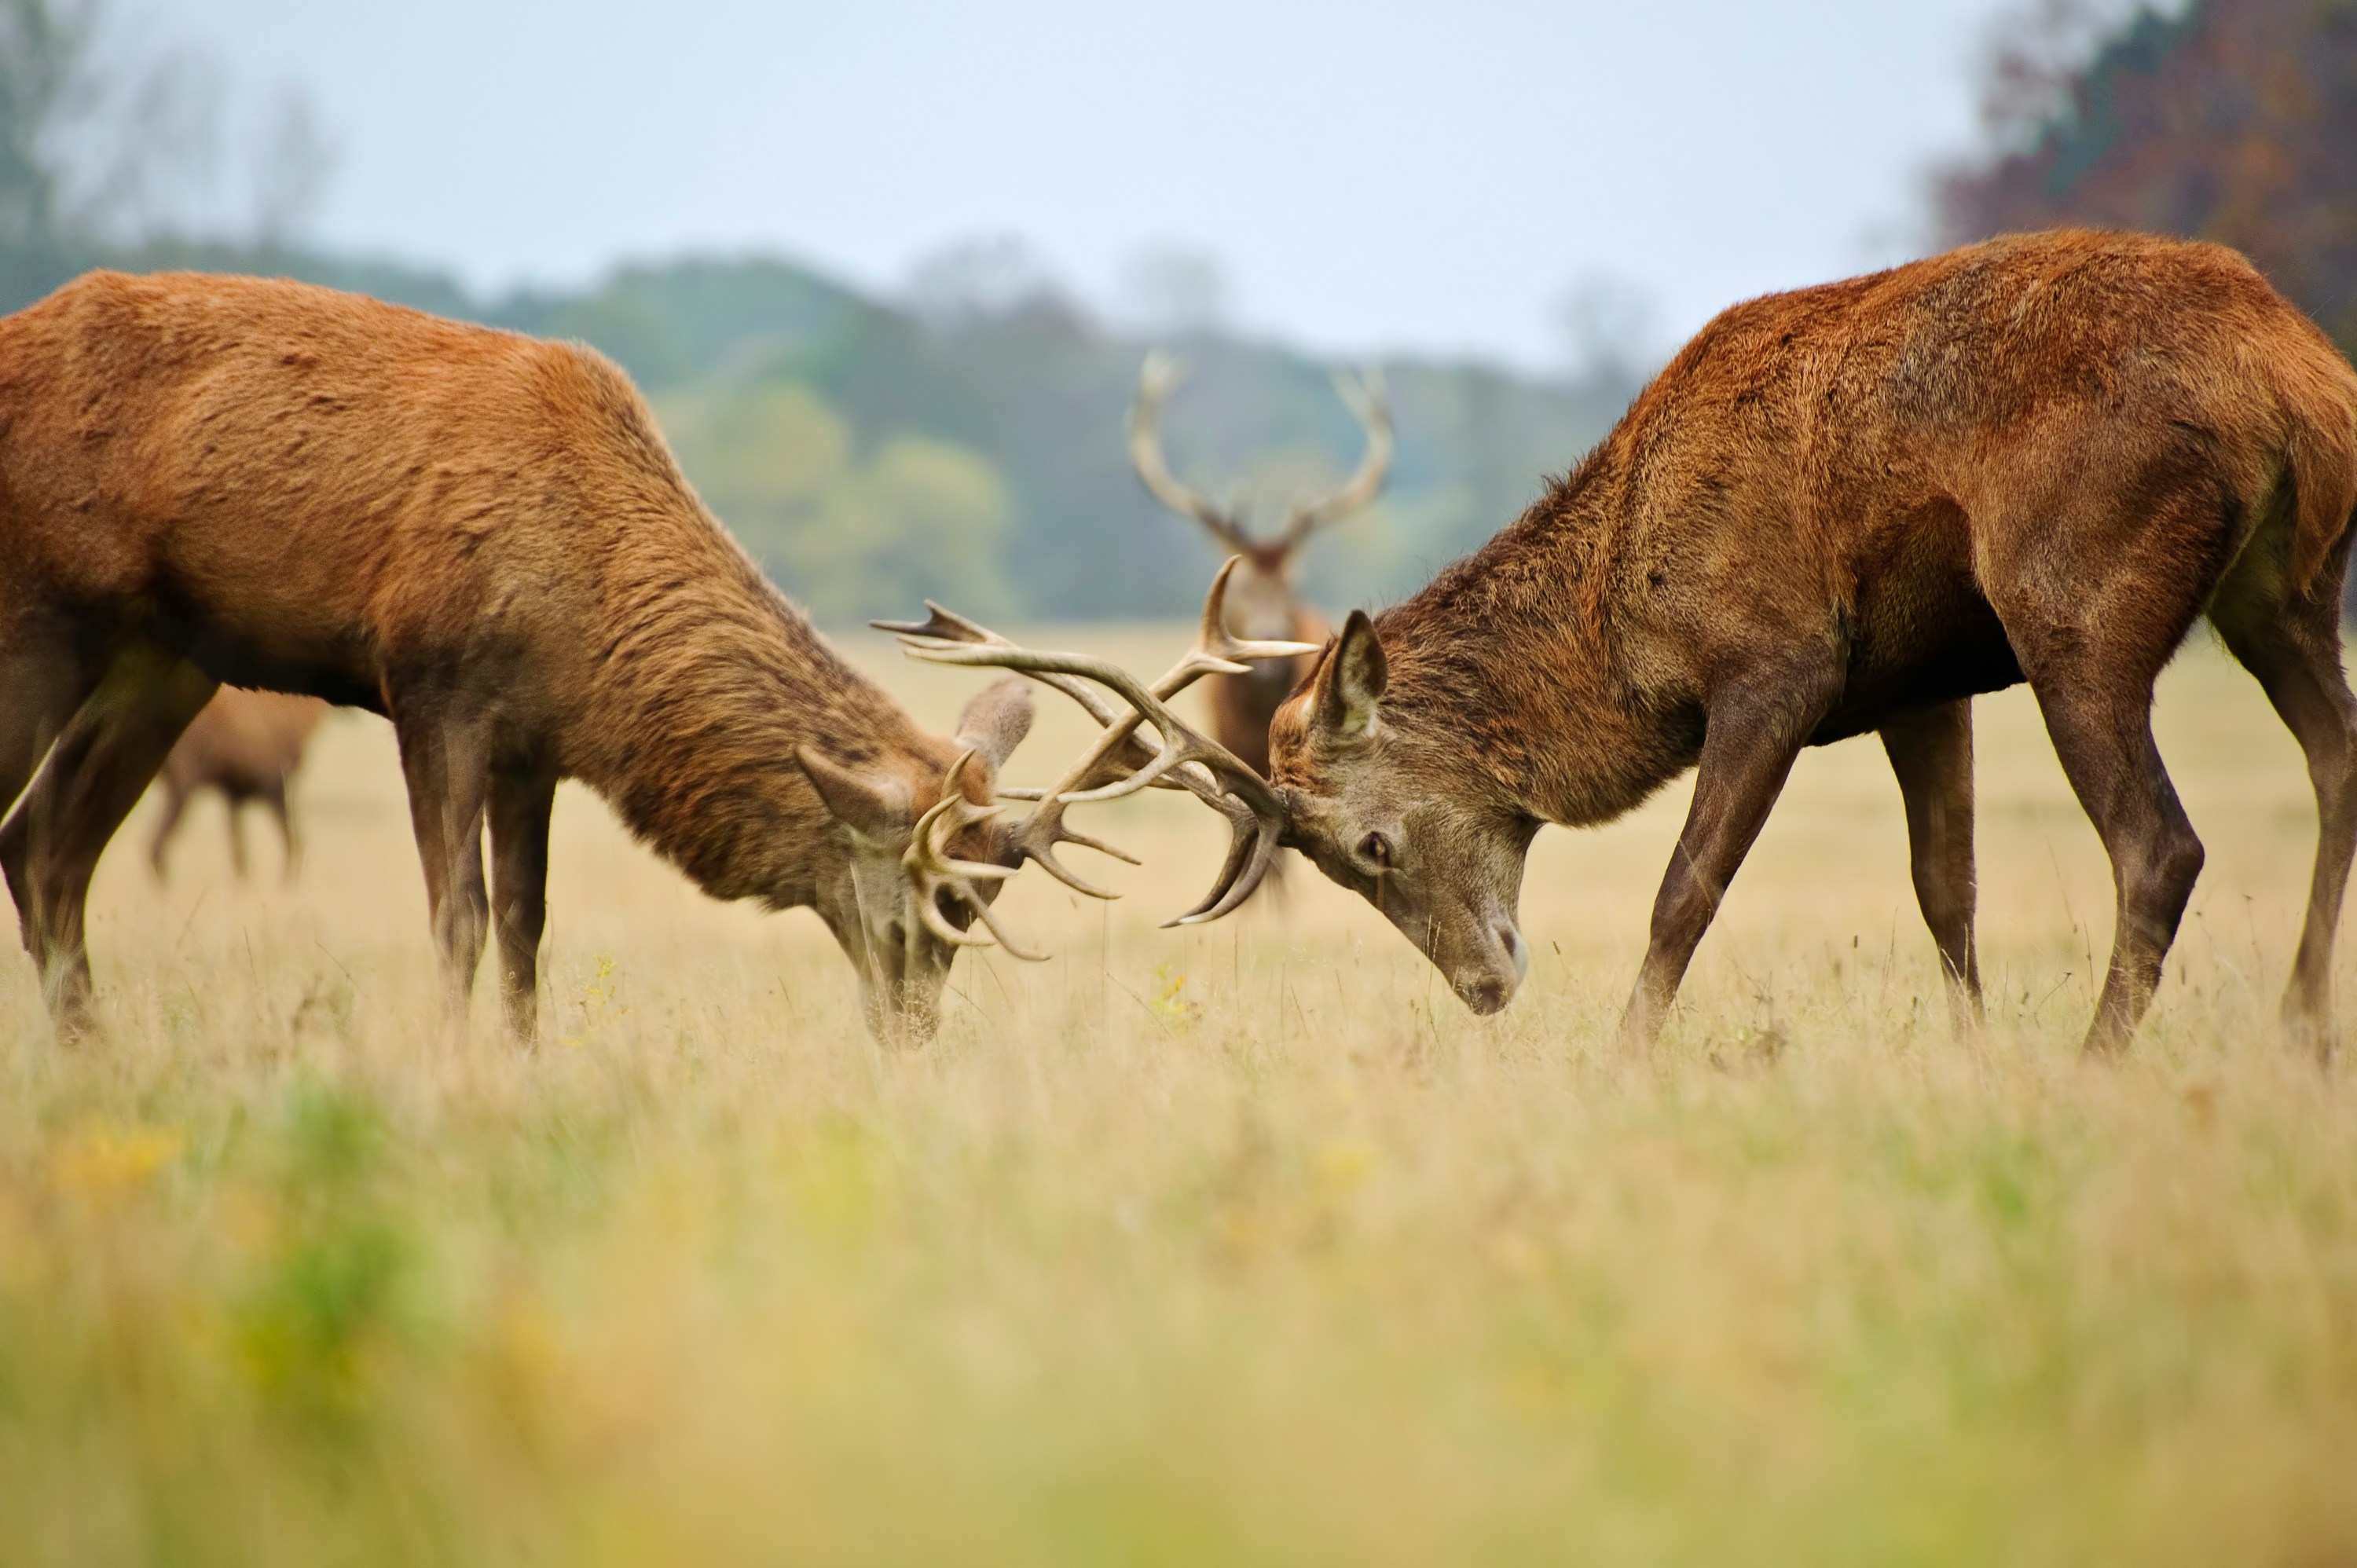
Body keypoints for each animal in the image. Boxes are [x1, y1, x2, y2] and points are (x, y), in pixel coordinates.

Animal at [148, 687, 329, 882]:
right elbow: (293, 842)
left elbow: (240, 856)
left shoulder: (235, 793)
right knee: (155, 845)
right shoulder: (271, 784)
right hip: (184, 784)